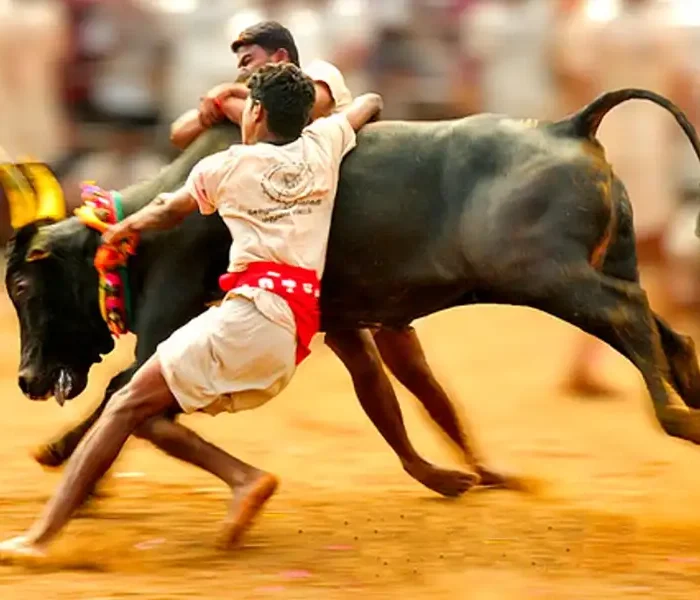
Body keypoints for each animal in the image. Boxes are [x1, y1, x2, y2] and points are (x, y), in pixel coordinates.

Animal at [7, 88, 700, 498]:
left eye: (22, 285)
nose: (26, 380)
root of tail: (568, 126)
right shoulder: (343, 323)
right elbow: (383, 398)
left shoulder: (165, 323)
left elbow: (118, 393)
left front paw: (58, 452)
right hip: (602, 266)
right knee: (665, 329)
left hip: (549, 277)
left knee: (630, 317)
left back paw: (678, 417)